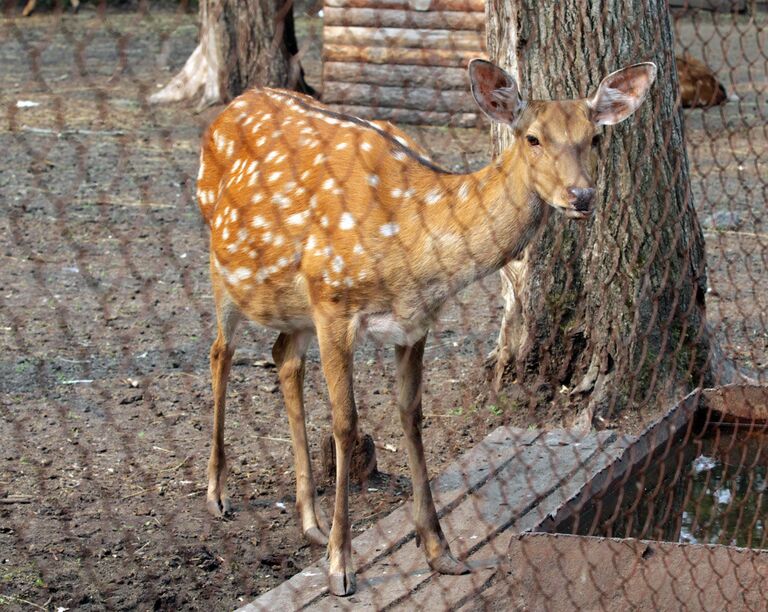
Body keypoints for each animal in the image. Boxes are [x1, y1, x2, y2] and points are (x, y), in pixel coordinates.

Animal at [195, 59, 656, 596]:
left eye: (596, 137)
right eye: (533, 138)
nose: (581, 195)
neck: (412, 246)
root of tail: (233, 103)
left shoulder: (416, 322)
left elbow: (411, 416)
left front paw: (440, 551)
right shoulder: (333, 300)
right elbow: (346, 424)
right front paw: (341, 566)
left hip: (292, 302)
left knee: (283, 356)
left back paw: (309, 522)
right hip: (223, 258)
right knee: (220, 352)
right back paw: (218, 494)